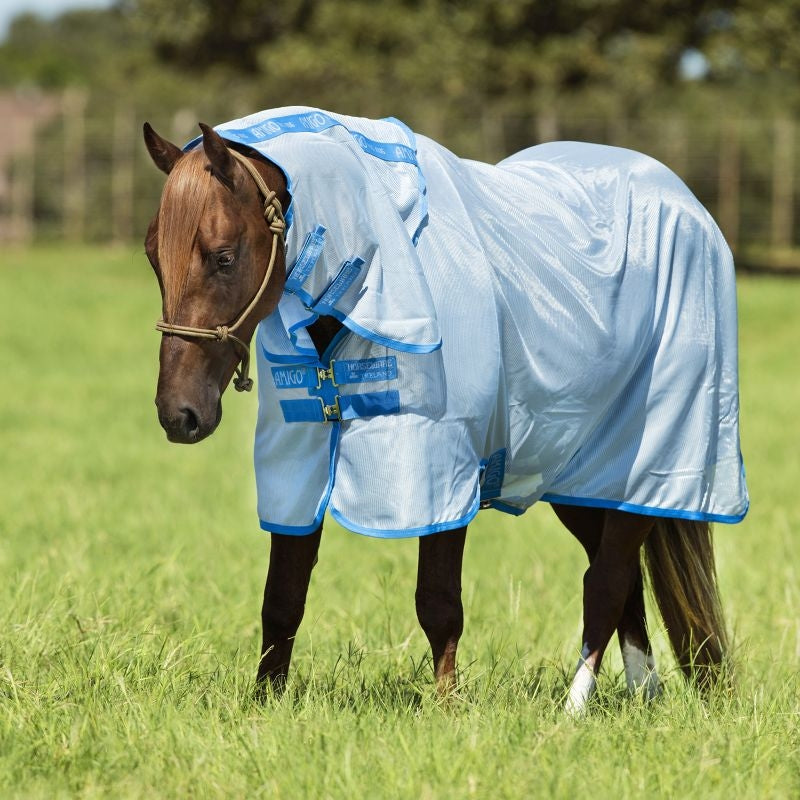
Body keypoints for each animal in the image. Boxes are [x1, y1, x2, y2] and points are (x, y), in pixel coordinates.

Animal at [142, 109, 747, 714]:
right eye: (153, 254)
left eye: (223, 255)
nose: (179, 413)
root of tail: (687, 204)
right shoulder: (300, 465)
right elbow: (282, 598)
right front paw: (266, 704)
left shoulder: (443, 473)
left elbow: (437, 602)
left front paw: (448, 708)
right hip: (582, 477)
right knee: (622, 584)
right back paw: (643, 698)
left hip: (650, 466)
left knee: (608, 582)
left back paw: (573, 712)